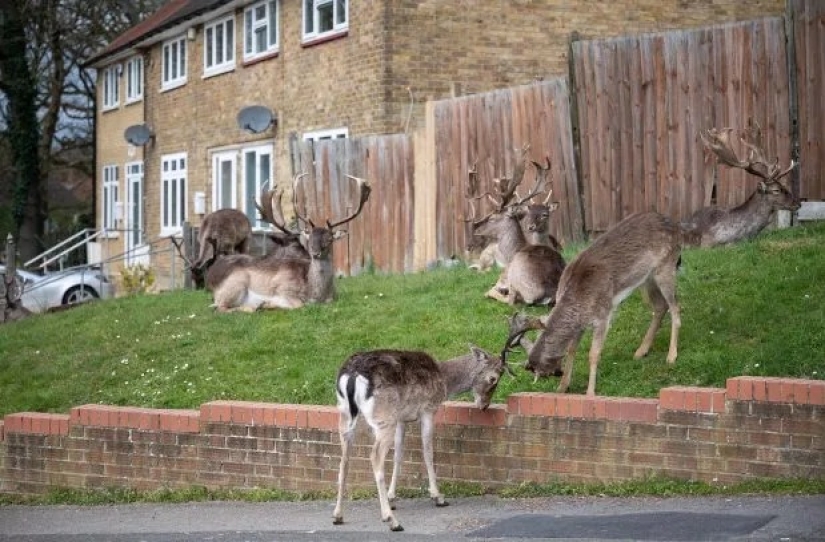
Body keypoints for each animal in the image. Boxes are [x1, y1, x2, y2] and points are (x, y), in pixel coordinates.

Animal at [206, 173, 371, 312]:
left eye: (329, 239)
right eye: (310, 238)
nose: (315, 253)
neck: (315, 294)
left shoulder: (334, 297)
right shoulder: (283, 288)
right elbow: (299, 304)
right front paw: (268, 304)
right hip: (236, 284)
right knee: (220, 308)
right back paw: (255, 306)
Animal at [332, 343, 511, 532]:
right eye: (494, 379)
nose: (484, 405)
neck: (444, 380)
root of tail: (352, 375)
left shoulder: (401, 418)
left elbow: (399, 455)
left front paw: (392, 497)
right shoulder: (428, 409)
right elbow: (428, 452)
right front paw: (438, 497)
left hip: (345, 414)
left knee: (344, 459)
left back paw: (338, 515)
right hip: (383, 417)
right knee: (375, 456)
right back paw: (392, 520)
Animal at [507, 211, 684, 396]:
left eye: (538, 370)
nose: (557, 373)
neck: (580, 301)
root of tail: (677, 227)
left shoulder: (603, 315)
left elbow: (594, 354)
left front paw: (590, 392)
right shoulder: (581, 324)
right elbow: (572, 349)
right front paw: (563, 387)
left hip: (666, 267)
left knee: (675, 307)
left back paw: (671, 355)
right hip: (647, 279)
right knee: (660, 306)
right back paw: (641, 351)